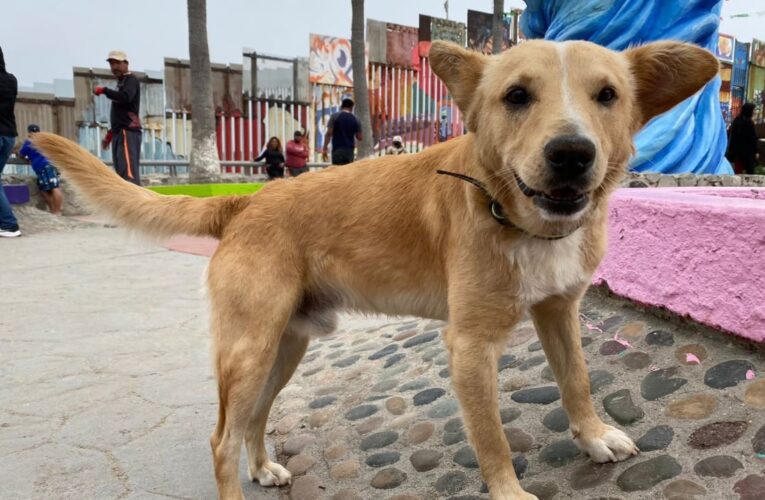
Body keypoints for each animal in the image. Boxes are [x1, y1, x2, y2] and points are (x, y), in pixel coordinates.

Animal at [32, 39, 716, 500]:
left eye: (608, 96)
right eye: (516, 96)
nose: (572, 154)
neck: (515, 216)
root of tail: (246, 200)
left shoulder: (559, 311)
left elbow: (577, 380)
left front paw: (594, 435)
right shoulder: (470, 347)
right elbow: (492, 438)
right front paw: (512, 487)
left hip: (285, 348)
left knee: (252, 418)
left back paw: (263, 466)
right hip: (249, 349)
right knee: (220, 438)